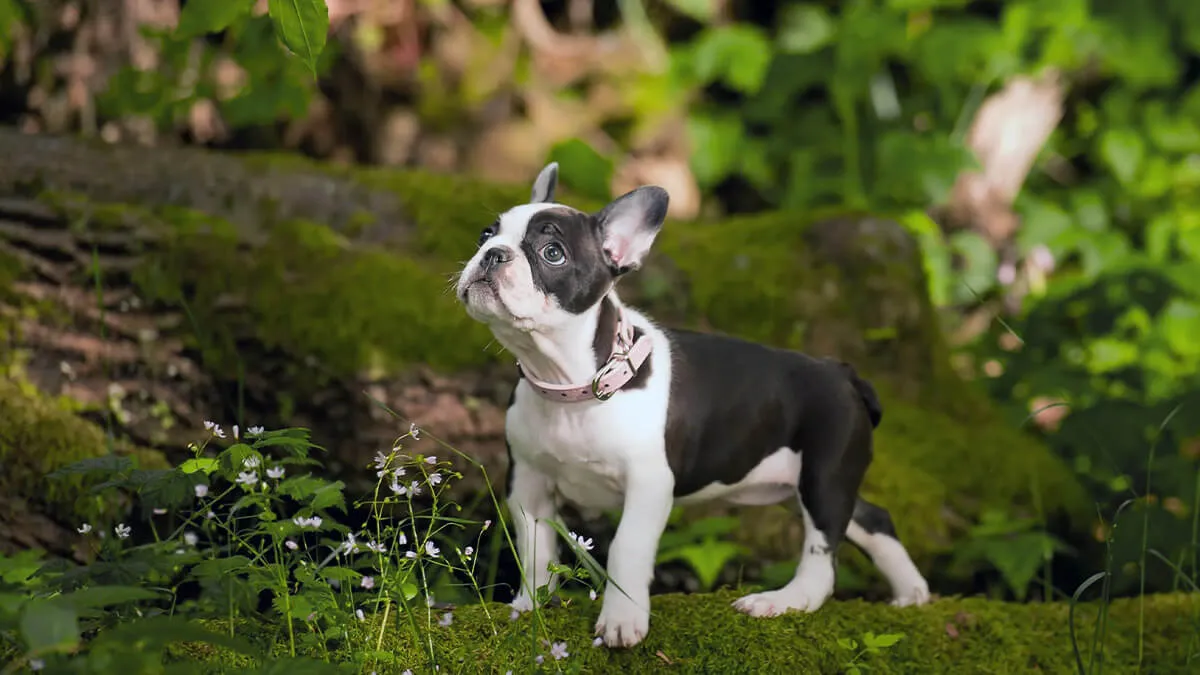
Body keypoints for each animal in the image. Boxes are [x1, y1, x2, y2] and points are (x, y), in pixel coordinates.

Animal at [453, 163, 931, 648]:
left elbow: (627, 545)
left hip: (824, 475)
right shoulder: (528, 482)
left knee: (822, 561)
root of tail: (844, 373)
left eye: (552, 253)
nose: (493, 254)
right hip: (805, 483)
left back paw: (779, 601)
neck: (572, 386)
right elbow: (534, 549)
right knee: (872, 518)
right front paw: (529, 607)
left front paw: (622, 619)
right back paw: (912, 593)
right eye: (485, 235)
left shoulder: (648, 484)